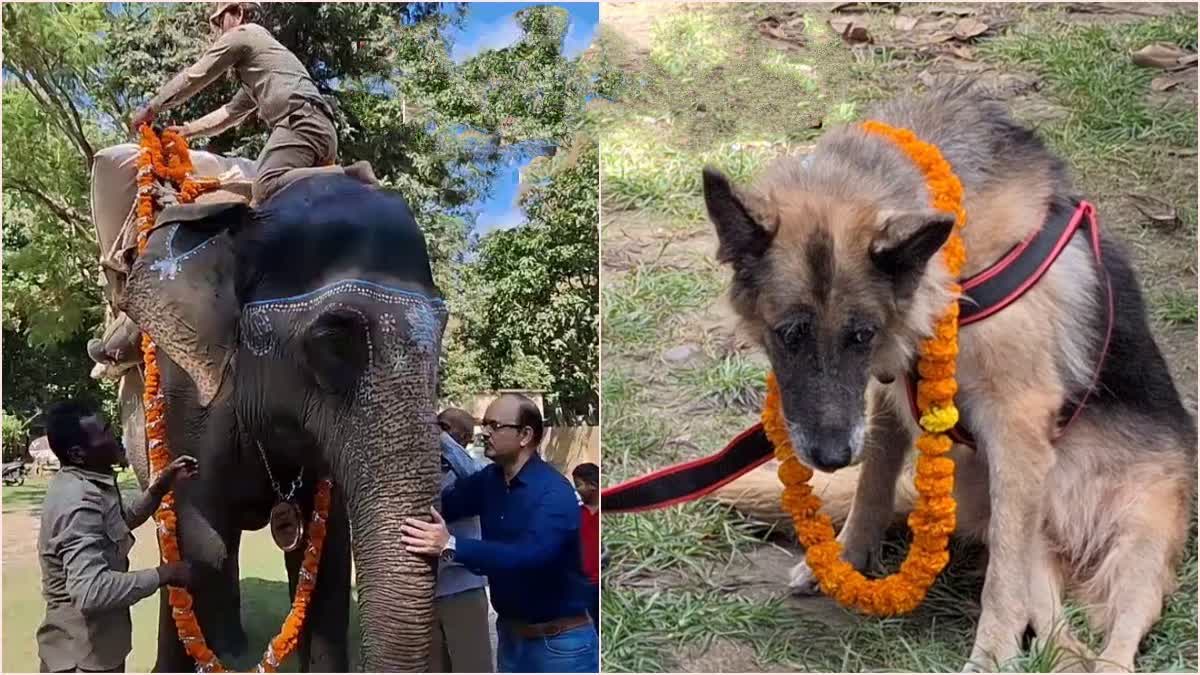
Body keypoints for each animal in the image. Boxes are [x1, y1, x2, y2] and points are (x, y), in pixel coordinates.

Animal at [700, 86, 1195, 667]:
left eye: (862, 335)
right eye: (788, 335)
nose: (831, 457)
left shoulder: (1016, 429)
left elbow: (1000, 584)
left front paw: (992, 658)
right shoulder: (888, 395)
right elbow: (873, 482)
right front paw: (846, 558)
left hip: (1134, 542)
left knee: (1117, 630)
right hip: (1038, 542)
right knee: (1055, 631)